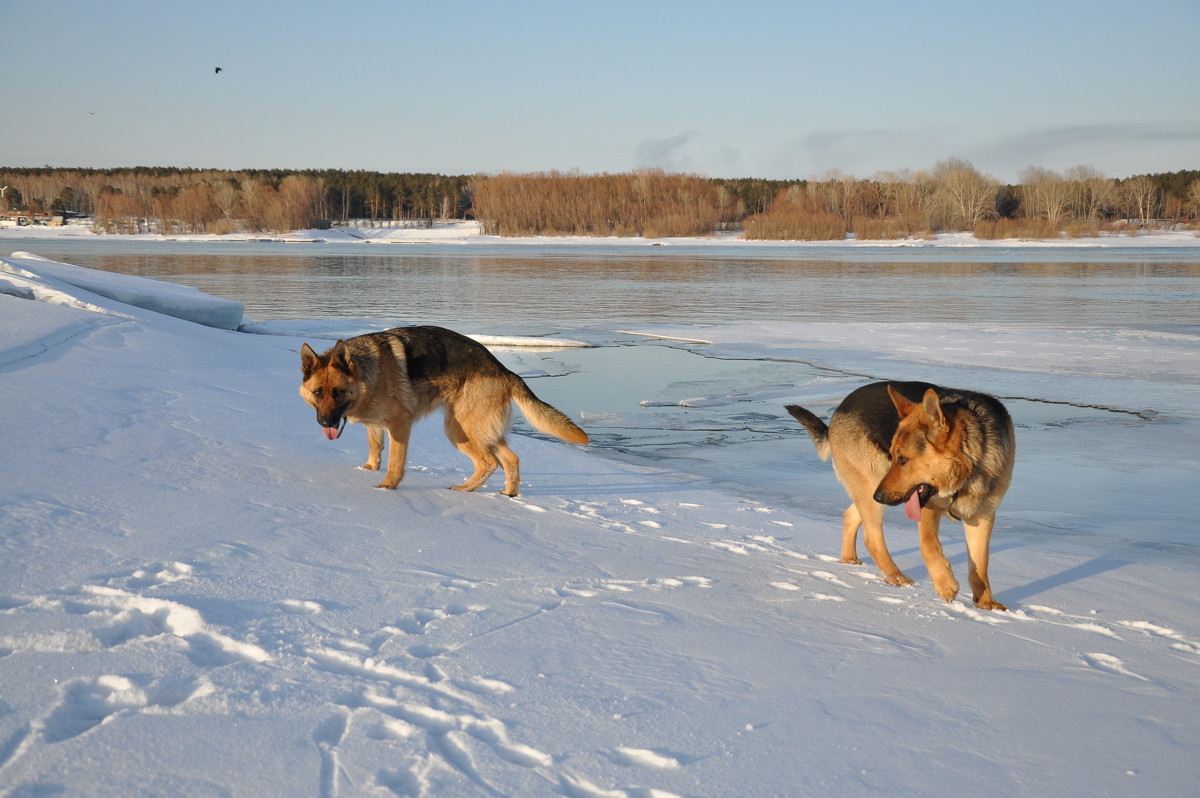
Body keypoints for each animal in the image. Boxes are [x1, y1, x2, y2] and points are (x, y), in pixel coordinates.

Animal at [300, 326, 590, 494]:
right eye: (318, 393)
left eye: (338, 392)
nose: (325, 422)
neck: (366, 373)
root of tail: (505, 371)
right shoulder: (376, 424)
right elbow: (375, 448)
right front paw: (368, 469)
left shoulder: (399, 425)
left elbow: (395, 460)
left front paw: (387, 487)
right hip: (480, 431)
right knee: (511, 459)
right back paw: (507, 493)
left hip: (459, 430)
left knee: (489, 463)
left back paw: (463, 490)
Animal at [787, 384, 1012, 607]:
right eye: (894, 455)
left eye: (903, 459)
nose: (878, 496)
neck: (967, 471)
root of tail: (840, 408)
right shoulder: (927, 507)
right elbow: (928, 546)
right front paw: (945, 584)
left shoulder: (982, 517)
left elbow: (980, 563)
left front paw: (986, 604)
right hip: (872, 483)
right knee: (872, 538)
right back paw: (897, 578)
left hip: (871, 490)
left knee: (850, 516)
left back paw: (849, 561)